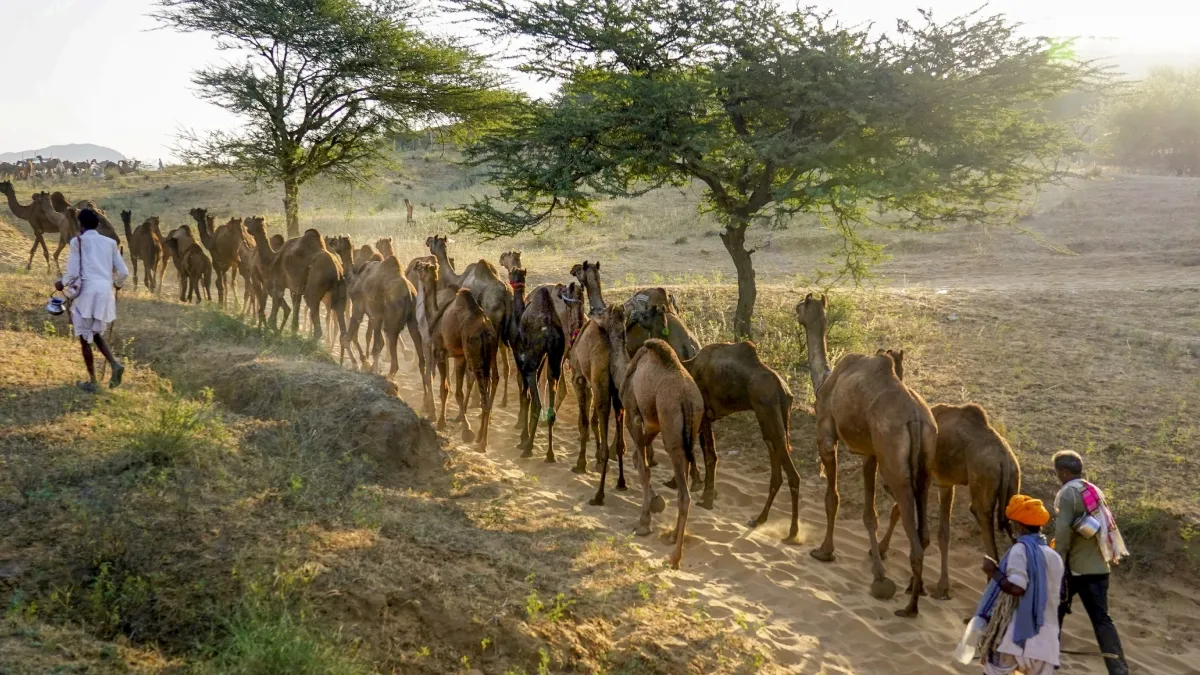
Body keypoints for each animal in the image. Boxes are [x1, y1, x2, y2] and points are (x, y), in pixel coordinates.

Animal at [595, 305, 704, 569]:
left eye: (604, 313)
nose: (593, 313)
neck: (626, 370)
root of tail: (688, 400)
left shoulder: (634, 414)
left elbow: (644, 469)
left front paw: (644, 523)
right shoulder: (653, 423)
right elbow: (638, 458)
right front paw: (654, 504)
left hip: (672, 432)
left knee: (684, 495)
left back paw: (675, 556)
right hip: (687, 431)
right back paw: (673, 536)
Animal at [796, 293, 937, 618]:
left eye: (800, 306)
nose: (794, 311)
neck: (824, 379)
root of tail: (916, 418)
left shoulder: (827, 435)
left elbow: (832, 498)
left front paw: (825, 551)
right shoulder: (869, 453)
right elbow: (869, 513)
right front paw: (878, 571)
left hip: (894, 460)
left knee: (914, 535)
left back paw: (910, 607)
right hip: (923, 466)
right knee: (922, 529)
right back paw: (915, 586)